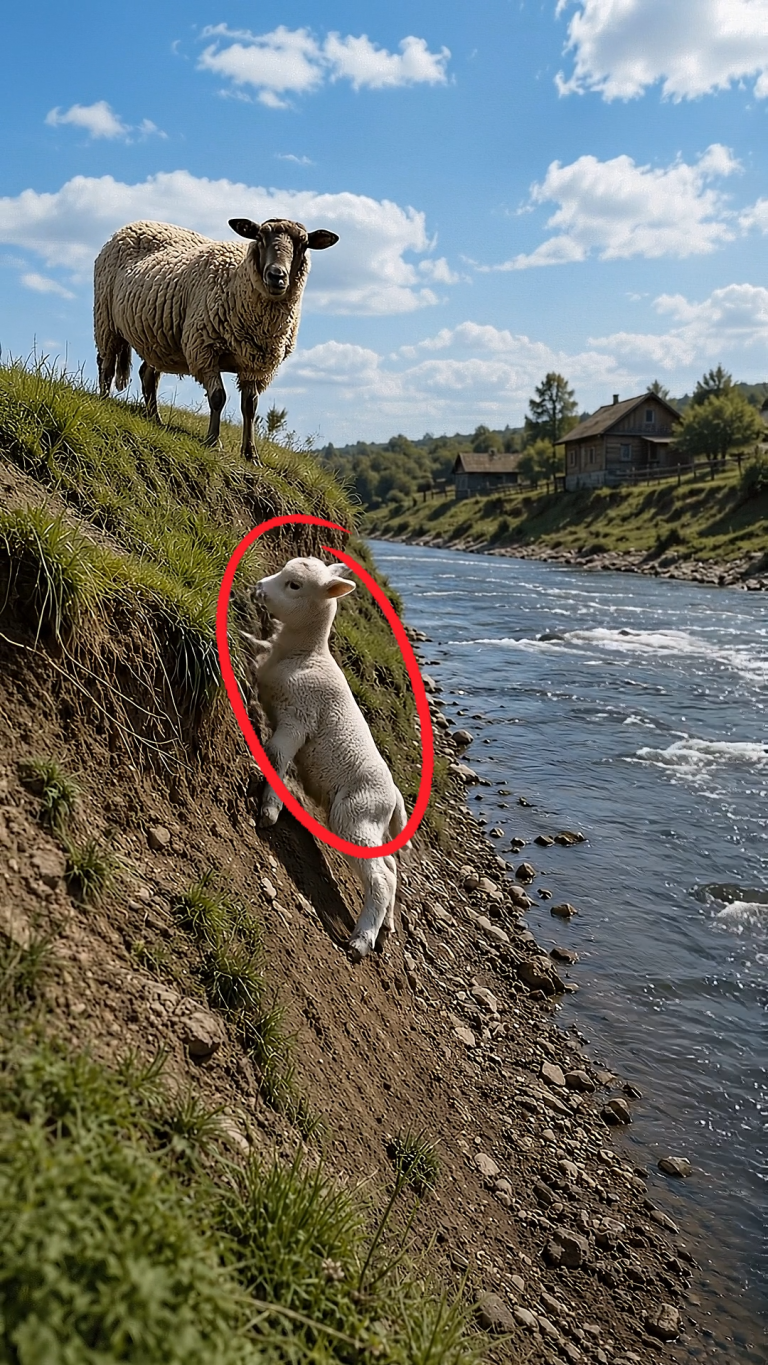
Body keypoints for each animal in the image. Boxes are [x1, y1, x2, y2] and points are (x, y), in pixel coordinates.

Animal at [93, 217, 339, 460]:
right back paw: (104, 401)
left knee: (147, 375)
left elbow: (250, 406)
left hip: (157, 340)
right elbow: (218, 397)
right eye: (260, 237)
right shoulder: (203, 348)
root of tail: (134, 224)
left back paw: (155, 418)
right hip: (105, 319)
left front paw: (250, 453)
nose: (276, 276)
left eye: (304, 244)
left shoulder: (254, 364)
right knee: (106, 365)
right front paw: (213, 441)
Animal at [244, 556, 409, 962]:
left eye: (294, 585)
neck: (306, 656)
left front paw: (269, 809)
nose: (258, 588)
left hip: (355, 815)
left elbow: (276, 756)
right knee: (391, 865)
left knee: (382, 877)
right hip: (371, 823)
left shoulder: (298, 718)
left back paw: (362, 939)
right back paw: (386, 926)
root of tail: (395, 798)